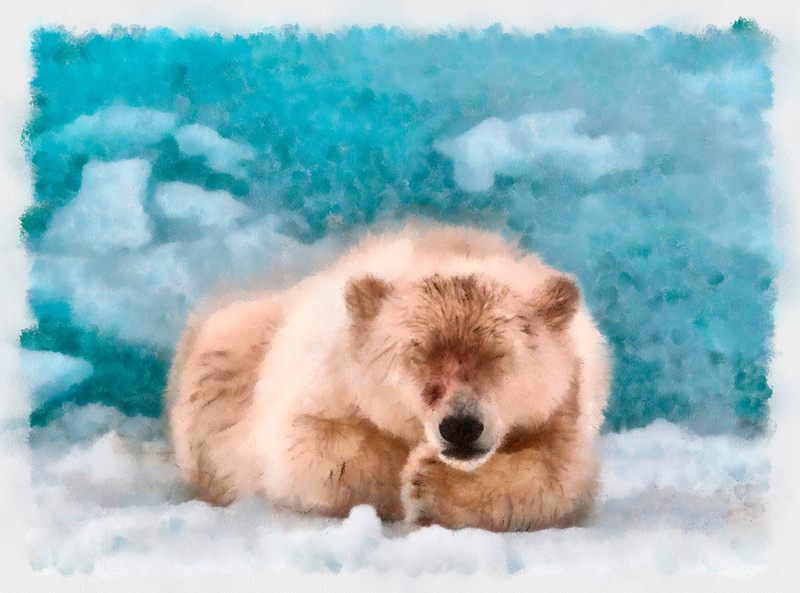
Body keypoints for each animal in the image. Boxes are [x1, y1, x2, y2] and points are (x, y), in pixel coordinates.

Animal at [166, 224, 610, 532]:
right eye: (419, 355)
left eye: (499, 355)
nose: (461, 426)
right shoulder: (325, 378)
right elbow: (309, 450)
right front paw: (411, 473)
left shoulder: (566, 405)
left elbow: (558, 476)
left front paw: (432, 480)